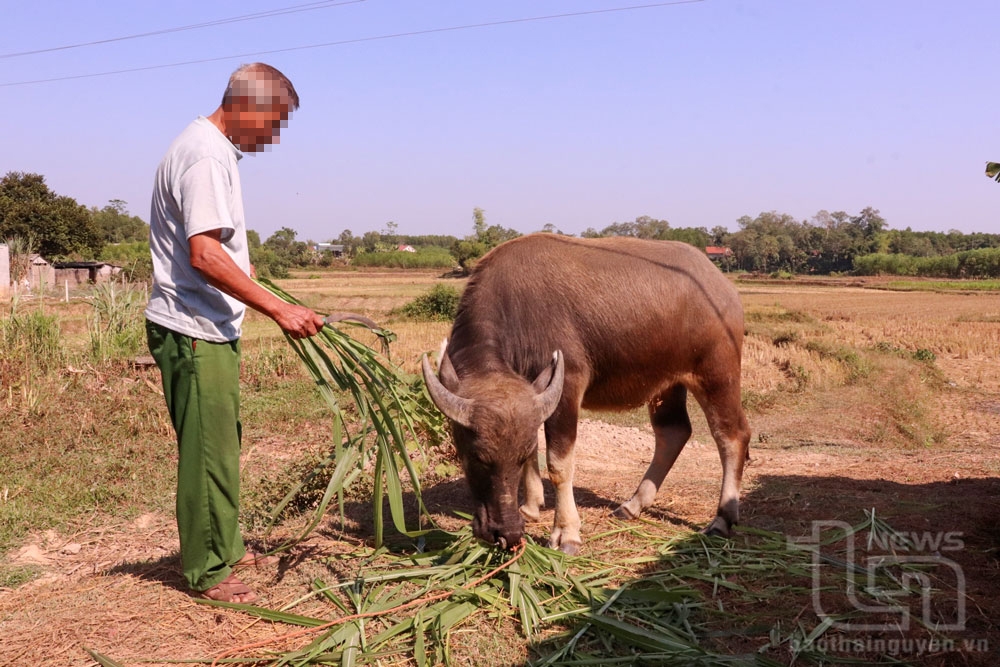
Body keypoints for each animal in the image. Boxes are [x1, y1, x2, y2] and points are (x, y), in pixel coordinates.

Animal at [422, 232, 752, 556]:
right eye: (475, 457)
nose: (506, 533)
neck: (515, 312)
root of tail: (722, 287)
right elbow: (536, 449)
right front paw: (531, 506)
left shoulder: (567, 387)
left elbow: (558, 463)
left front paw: (566, 532)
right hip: (667, 384)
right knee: (673, 433)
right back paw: (632, 505)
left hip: (717, 373)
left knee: (731, 435)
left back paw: (721, 519)